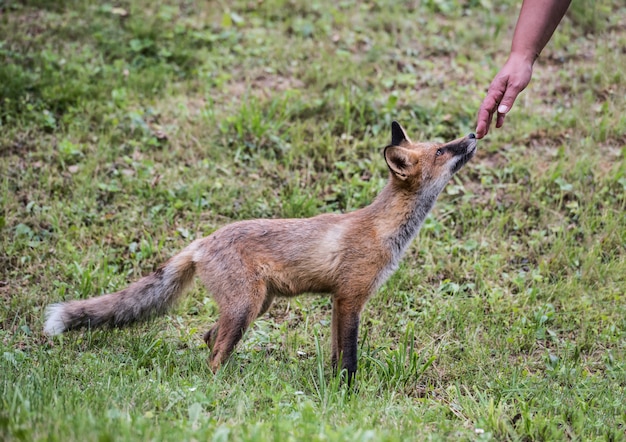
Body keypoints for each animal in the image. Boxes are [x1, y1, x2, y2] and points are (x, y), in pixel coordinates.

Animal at [45, 122, 472, 382]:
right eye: (440, 150)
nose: (471, 134)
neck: (382, 229)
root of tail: (203, 241)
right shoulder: (350, 298)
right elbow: (349, 357)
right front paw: (350, 395)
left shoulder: (338, 300)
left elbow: (336, 355)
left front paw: (335, 391)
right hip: (245, 308)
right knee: (214, 353)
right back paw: (220, 389)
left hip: (254, 306)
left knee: (208, 337)